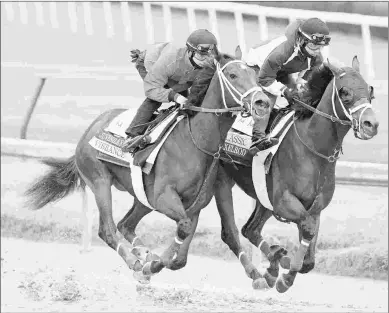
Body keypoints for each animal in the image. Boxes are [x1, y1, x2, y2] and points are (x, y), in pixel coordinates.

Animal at [212, 54, 378, 292]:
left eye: (370, 90)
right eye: (345, 92)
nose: (371, 124)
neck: (313, 148)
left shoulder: (314, 207)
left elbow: (309, 257)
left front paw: (283, 267)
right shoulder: (284, 202)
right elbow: (307, 230)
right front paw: (285, 275)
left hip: (263, 196)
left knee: (250, 229)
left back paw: (272, 267)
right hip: (221, 181)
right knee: (231, 232)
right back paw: (259, 274)